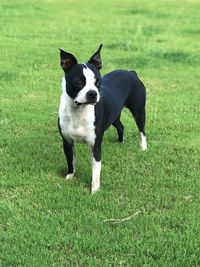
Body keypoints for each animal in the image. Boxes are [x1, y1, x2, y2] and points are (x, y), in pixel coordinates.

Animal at [57, 45, 147, 194]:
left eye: (98, 83)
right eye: (78, 83)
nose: (93, 93)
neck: (79, 111)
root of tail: (131, 72)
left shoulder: (95, 145)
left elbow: (96, 169)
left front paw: (94, 189)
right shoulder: (67, 142)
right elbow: (71, 161)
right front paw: (70, 176)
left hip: (139, 111)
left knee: (142, 131)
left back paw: (143, 148)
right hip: (114, 115)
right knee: (121, 126)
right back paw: (121, 142)